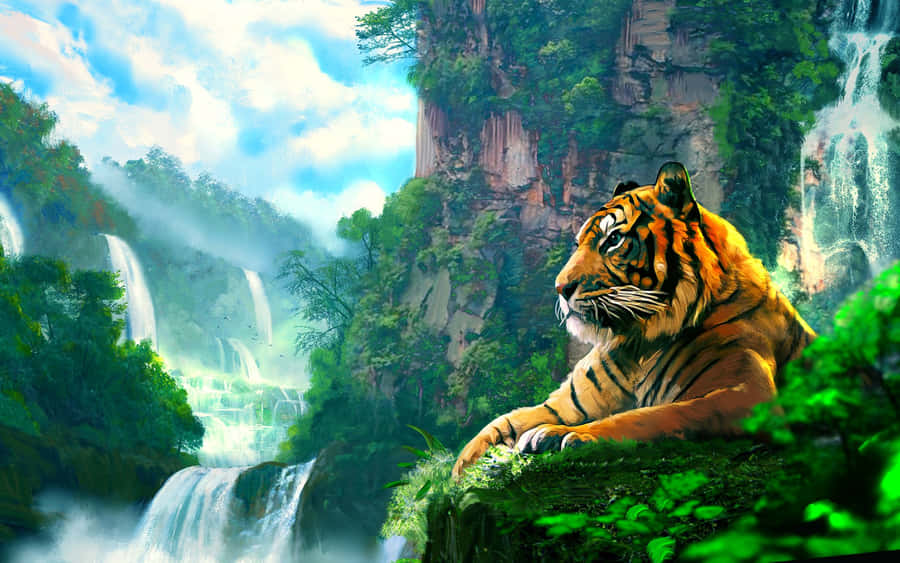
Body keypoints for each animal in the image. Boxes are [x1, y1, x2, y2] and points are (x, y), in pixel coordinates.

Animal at [452, 161, 816, 477]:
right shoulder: (566, 404)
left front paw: (563, 435)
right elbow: (502, 423)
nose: (560, 288)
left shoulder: (746, 394)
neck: (638, 341)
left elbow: (651, 416)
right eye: (577, 243)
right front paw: (459, 472)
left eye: (613, 239)